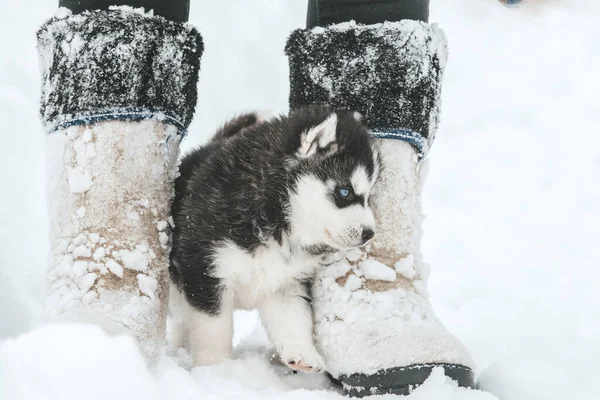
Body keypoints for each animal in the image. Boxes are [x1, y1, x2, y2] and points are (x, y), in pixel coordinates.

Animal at [168, 105, 380, 372]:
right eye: (345, 192)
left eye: (370, 196)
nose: (369, 233)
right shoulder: (205, 270)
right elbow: (213, 332)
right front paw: (214, 369)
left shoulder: (286, 280)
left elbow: (293, 317)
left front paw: (301, 353)